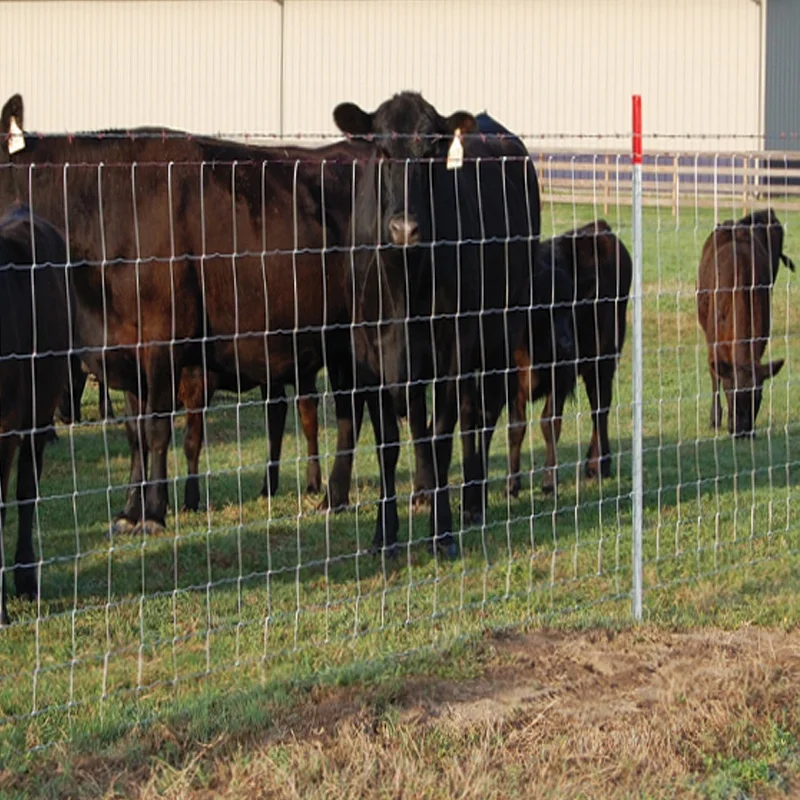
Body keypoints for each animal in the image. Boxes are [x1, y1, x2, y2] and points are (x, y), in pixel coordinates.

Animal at [0, 93, 367, 536]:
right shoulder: (125, 352)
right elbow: (135, 435)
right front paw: (130, 510)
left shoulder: (163, 341)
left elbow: (158, 430)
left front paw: (155, 512)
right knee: (350, 412)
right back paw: (337, 496)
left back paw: (338, 496)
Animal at [333, 93, 539, 556]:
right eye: (382, 151)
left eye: (432, 153)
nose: (404, 228)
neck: (405, 282)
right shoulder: (367, 354)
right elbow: (390, 441)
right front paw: (385, 534)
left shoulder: (455, 346)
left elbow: (442, 432)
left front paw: (442, 532)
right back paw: (426, 491)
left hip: (505, 327)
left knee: (480, 413)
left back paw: (472, 500)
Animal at [506, 220, 632, 496]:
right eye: (540, 305)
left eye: (570, 306)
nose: (566, 345)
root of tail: (599, 227)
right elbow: (515, 428)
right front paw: (512, 484)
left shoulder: (561, 378)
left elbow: (550, 424)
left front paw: (548, 481)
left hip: (603, 361)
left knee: (600, 409)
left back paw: (598, 465)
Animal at [697, 208, 794, 437]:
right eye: (730, 392)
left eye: (758, 396)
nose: (742, 432)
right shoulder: (712, 339)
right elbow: (715, 375)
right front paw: (715, 418)